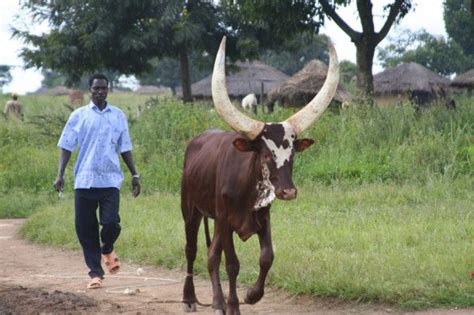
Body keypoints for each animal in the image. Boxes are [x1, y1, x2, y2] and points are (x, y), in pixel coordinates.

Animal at [180, 35, 338, 314]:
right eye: (265, 154)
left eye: (292, 154)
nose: (288, 191)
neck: (246, 189)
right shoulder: (226, 220)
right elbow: (232, 264)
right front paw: (234, 306)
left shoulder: (263, 218)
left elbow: (267, 257)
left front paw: (252, 295)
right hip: (191, 211)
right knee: (192, 250)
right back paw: (190, 298)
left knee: (211, 255)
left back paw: (217, 301)